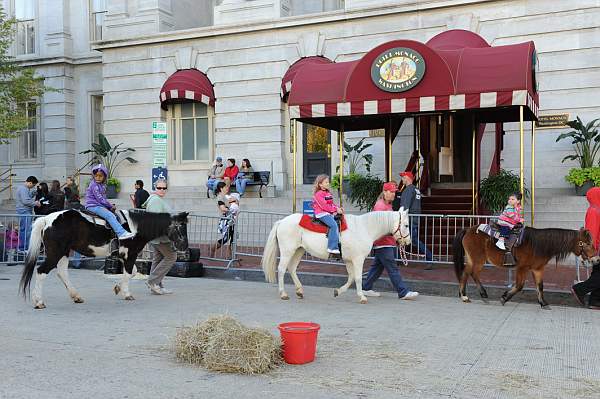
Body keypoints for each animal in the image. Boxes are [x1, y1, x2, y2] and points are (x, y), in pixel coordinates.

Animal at [19, 209, 188, 310]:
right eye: (180, 227)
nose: (185, 247)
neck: (134, 228)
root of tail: (46, 219)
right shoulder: (130, 254)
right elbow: (129, 273)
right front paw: (127, 293)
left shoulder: (122, 256)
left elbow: (132, 272)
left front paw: (118, 288)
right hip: (56, 253)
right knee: (41, 271)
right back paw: (39, 301)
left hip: (64, 252)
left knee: (62, 273)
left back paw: (76, 296)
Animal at [262, 209, 412, 304]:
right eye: (406, 225)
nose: (408, 242)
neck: (364, 228)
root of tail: (281, 222)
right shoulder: (358, 259)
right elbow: (358, 278)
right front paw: (362, 297)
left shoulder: (349, 260)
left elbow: (351, 278)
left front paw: (338, 291)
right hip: (287, 251)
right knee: (282, 269)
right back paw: (283, 294)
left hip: (299, 250)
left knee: (292, 268)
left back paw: (299, 291)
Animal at [452, 228, 596, 310]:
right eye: (588, 243)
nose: (596, 259)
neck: (538, 244)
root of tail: (468, 230)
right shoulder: (522, 268)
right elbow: (520, 285)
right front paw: (504, 297)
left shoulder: (538, 269)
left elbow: (540, 286)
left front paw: (543, 303)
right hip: (478, 260)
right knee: (472, 273)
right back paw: (474, 295)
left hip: (473, 260)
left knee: (466, 273)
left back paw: (466, 295)